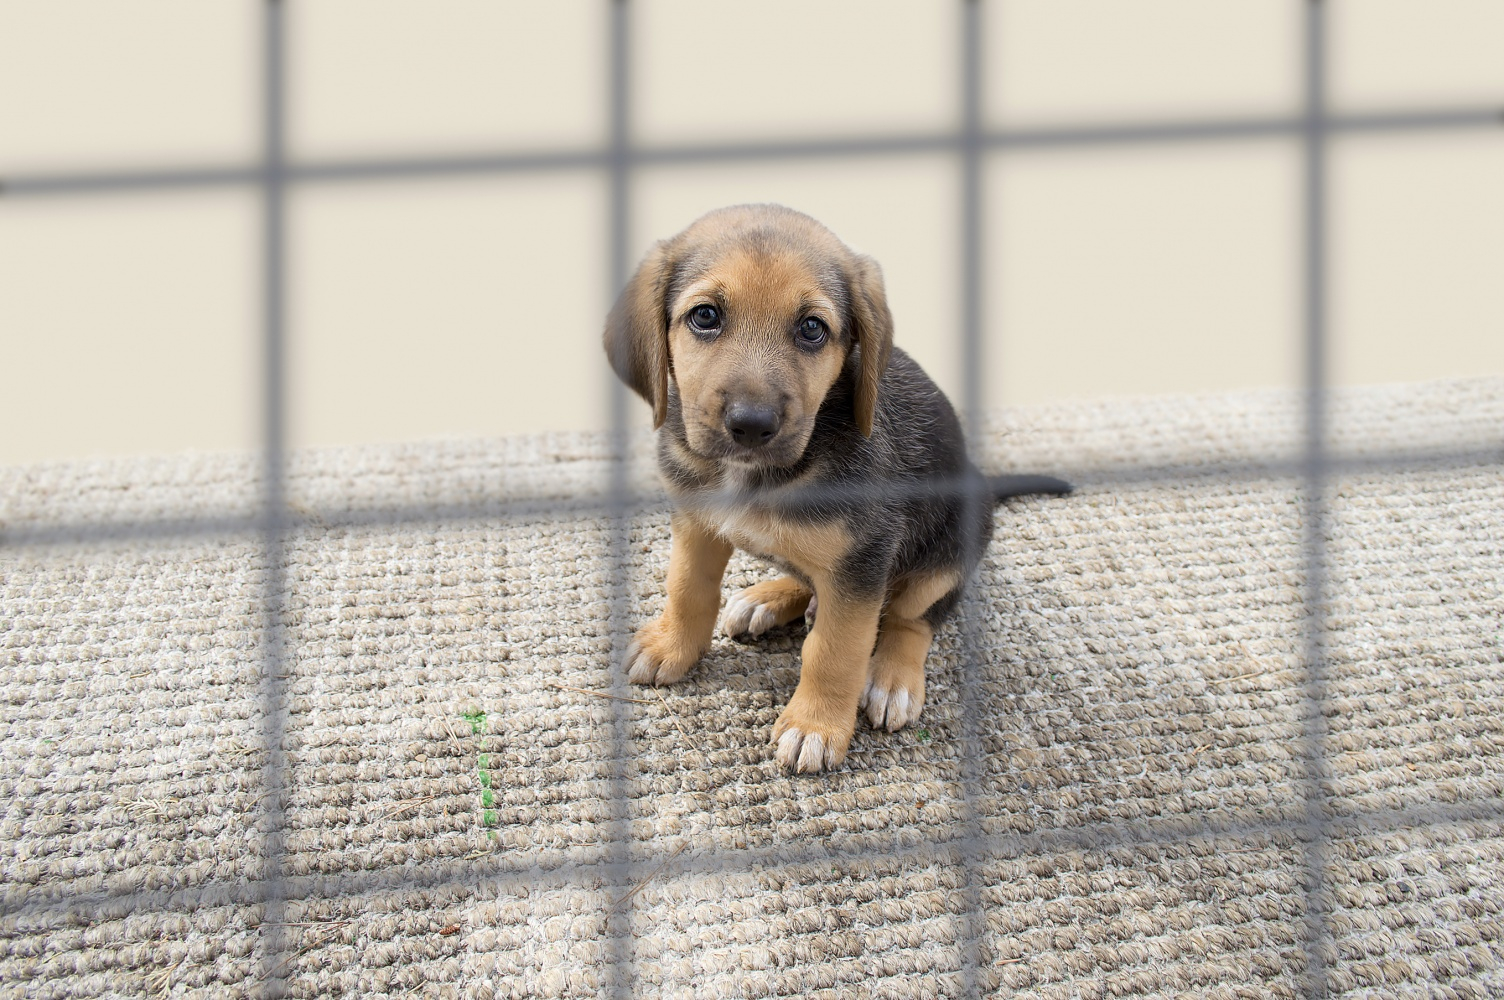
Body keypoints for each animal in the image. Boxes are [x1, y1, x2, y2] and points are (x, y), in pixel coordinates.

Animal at [601, 203, 1070, 769]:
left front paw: (815, 725)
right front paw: (671, 646)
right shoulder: (696, 523)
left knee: (912, 618)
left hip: (951, 545)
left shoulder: (863, 559)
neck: (758, 476)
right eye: (705, 316)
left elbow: (835, 650)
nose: (751, 425)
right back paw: (768, 597)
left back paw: (892, 680)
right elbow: (688, 588)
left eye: (812, 328)